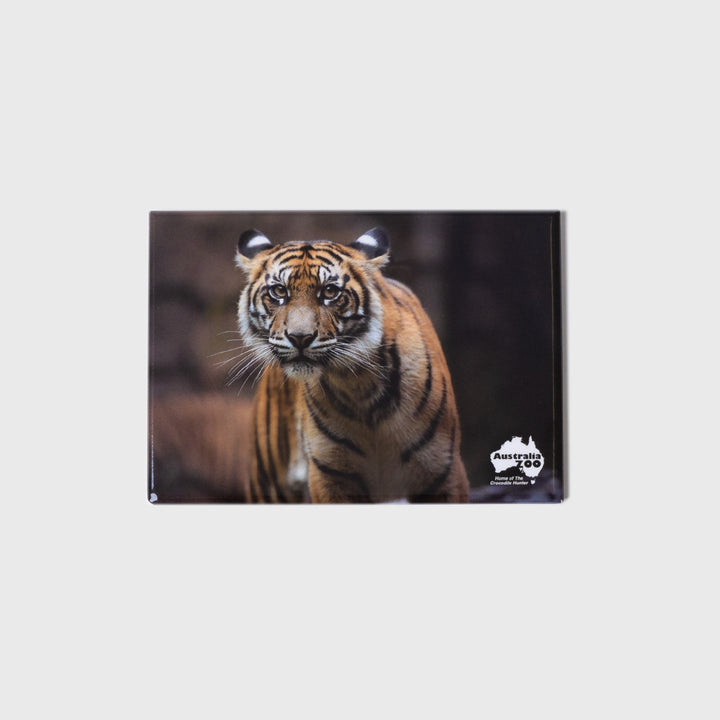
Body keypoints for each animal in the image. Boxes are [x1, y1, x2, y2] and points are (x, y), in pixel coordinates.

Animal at [235, 226, 469, 503]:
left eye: (329, 292)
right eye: (279, 291)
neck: (358, 385)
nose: (299, 337)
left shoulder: (443, 471)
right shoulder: (331, 476)